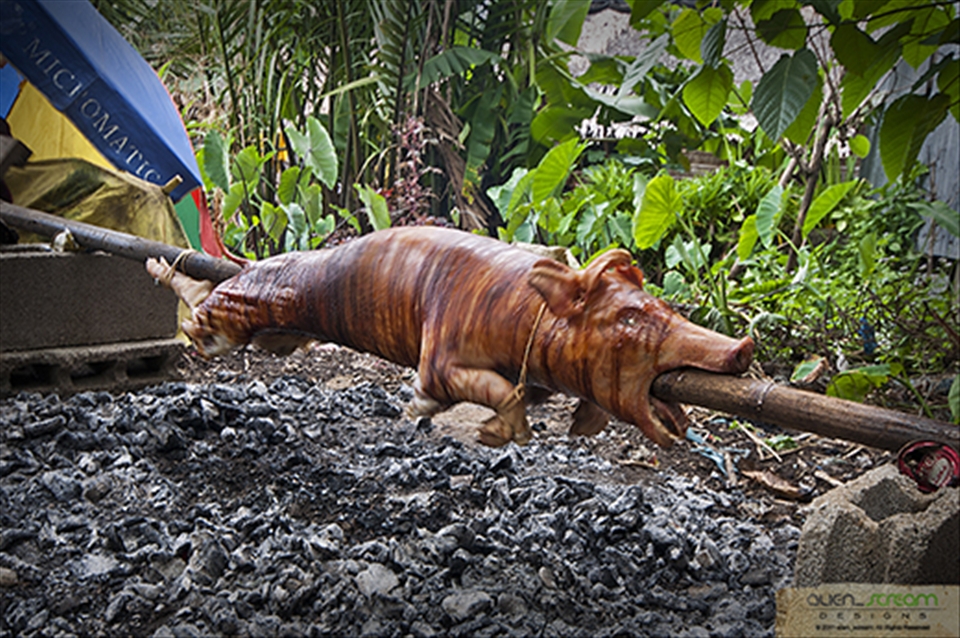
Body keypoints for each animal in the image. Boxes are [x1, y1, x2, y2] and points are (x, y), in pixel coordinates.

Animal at [147, 226, 754, 447]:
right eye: (629, 320)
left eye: (662, 306)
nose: (743, 349)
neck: (525, 313)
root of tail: (249, 265)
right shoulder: (441, 355)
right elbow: (490, 391)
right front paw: (491, 434)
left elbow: (525, 392)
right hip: (233, 310)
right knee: (201, 316)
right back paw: (161, 269)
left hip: (275, 323)